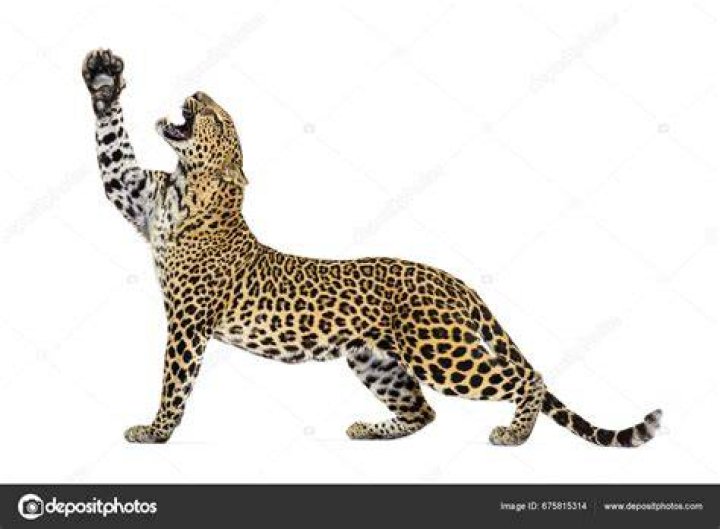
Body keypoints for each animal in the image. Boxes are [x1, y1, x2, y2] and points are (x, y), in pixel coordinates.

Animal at [82, 48, 662, 447]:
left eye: (218, 119)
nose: (199, 94)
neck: (189, 188)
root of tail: (453, 279)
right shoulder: (133, 191)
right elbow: (114, 153)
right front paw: (103, 80)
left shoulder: (188, 321)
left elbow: (173, 381)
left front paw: (155, 431)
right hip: (374, 358)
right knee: (424, 412)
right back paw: (369, 429)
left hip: (441, 352)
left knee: (527, 376)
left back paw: (514, 434)